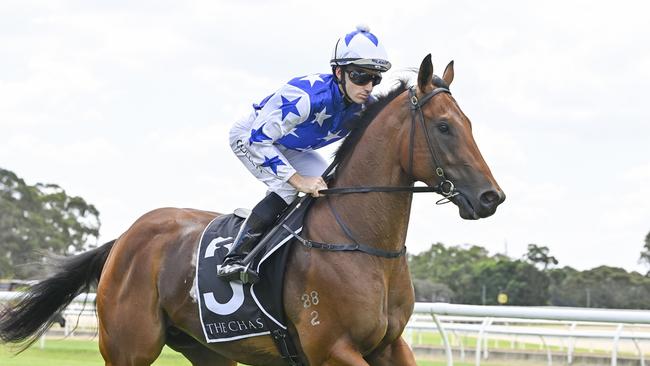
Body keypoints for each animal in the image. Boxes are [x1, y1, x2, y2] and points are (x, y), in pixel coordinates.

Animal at [0, 55, 504, 366]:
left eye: (470, 124)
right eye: (444, 127)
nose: (490, 197)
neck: (361, 244)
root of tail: (124, 239)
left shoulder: (390, 346)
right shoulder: (332, 348)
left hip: (207, 350)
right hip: (128, 348)